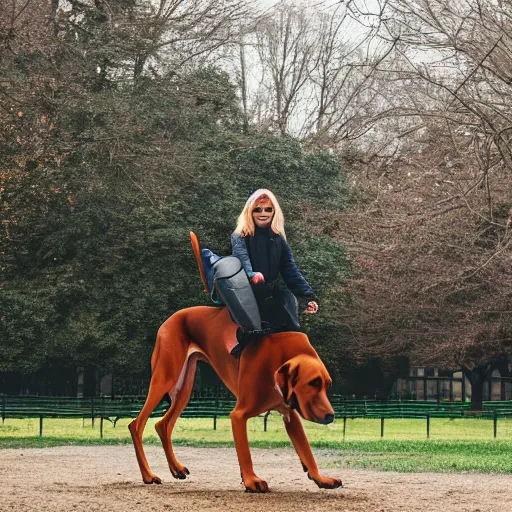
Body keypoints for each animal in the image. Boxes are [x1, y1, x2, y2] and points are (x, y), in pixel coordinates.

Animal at [128, 304, 344, 492]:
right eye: (313, 383)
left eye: (327, 385)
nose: (331, 417)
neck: (277, 357)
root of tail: (171, 318)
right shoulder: (239, 415)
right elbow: (245, 453)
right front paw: (251, 481)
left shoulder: (290, 415)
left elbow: (307, 451)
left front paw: (320, 478)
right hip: (165, 377)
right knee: (136, 424)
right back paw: (148, 475)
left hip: (185, 386)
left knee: (162, 424)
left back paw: (176, 468)